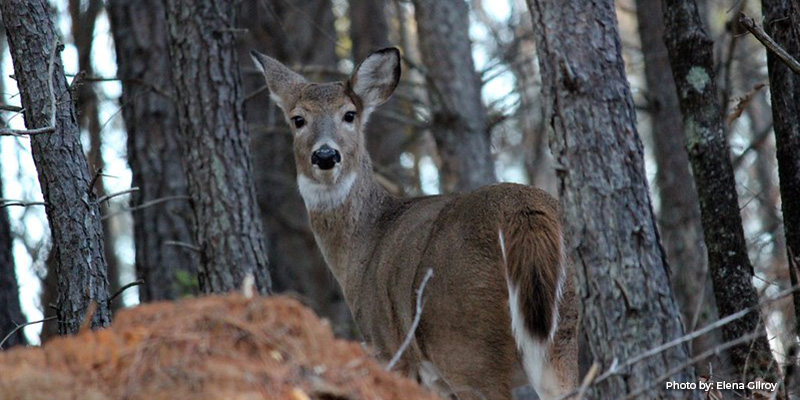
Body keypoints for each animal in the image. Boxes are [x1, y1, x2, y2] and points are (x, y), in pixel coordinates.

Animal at [251, 47, 578, 400]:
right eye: (298, 119)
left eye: (349, 114)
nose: (325, 155)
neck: (363, 244)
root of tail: (523, 211)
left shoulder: (389, 349)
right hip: (560, 338)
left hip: (466, 345)